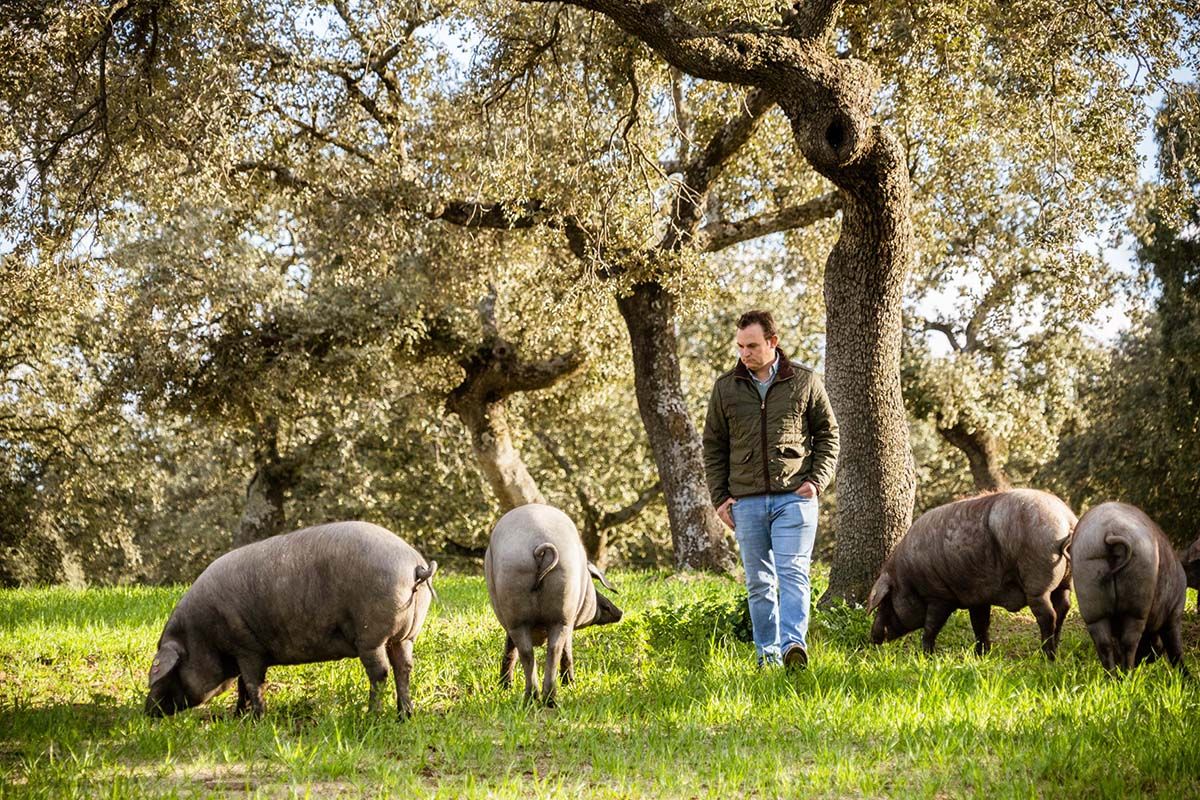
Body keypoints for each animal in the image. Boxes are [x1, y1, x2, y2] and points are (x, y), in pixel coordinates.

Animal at [145, 525, 436, 719]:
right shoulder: (247, 652)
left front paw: (257, 719)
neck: (202, 636)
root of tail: (415, 565)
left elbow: (252, 683)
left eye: (169, 671)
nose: (147, 711)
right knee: (403, 668)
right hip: (406, 636)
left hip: (371, 635)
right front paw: (239, 716)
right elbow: (242, 684)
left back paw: (370, 716)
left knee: (381, 672)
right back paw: (404, 716)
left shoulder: (246, 647)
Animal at [484, 506, 624, 705]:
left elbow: (510, 649)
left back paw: (538, 699)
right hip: (561, 610)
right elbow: (567, 650)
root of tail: (539, 546)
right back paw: (550, 696)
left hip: (522, 612)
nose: (619, 612)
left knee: (533, 651)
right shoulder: (570, 621)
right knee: (554, 649)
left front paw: (505, 687)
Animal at [868, 489, 1075, 657]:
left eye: (884, 603)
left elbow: (931, 627)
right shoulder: (978, 597)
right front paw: (981, 655)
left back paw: (1047, 656)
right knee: (1063, 607)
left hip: (1037, 582)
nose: (873, 638)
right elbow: (980, 625)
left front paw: (926, 655)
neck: (907, 578)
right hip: (1064, 582)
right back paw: (1056, 649)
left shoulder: (939, 596)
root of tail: (1067, 520)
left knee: (1048, 615)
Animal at [1070, 503, 1190, 671]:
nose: (1149, 658)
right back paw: (1128, 672)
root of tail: (1110, 532)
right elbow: (1175, 648)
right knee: (1130, 641)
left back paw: (1112, 674)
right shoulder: (1176, 611)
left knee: (1104, 643)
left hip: (1090, 594)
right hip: (1137, 602)